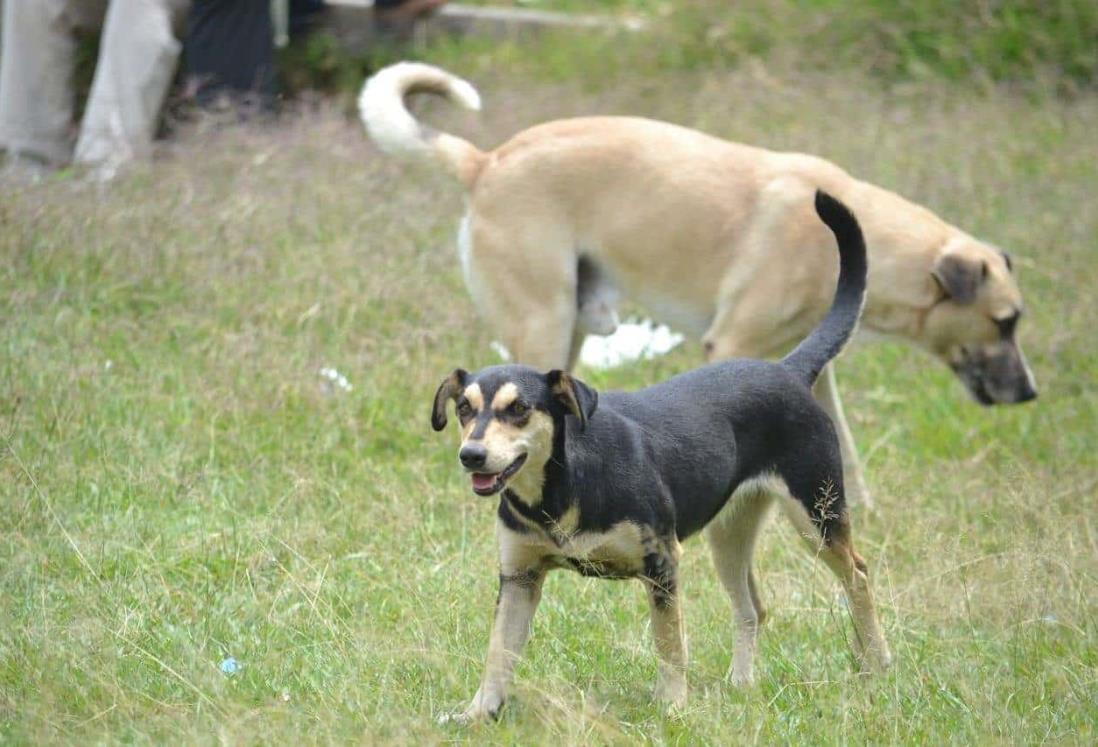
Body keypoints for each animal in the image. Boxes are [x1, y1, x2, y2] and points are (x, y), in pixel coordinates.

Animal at [360, 64, 1036, 507]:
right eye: (1004, 322)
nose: (1030, 393)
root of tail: (486, 161)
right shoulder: (731, 343)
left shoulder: (811, 367)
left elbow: (843, 447)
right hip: (543, 325)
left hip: (569, 332)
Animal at [428, 194, 891, 725]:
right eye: (464, 409)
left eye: (519, 409)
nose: (471, 455)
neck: (561, 487)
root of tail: (789, 370)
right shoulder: (519, 577)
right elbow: (497, 653)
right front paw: (478, 712)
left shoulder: (662, 563)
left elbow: (670, 645)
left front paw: (672, 707)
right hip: (730, 534)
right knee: (753, 607)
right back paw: (741, 684)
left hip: (817, 515)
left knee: (858, 576)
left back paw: (877, 665)